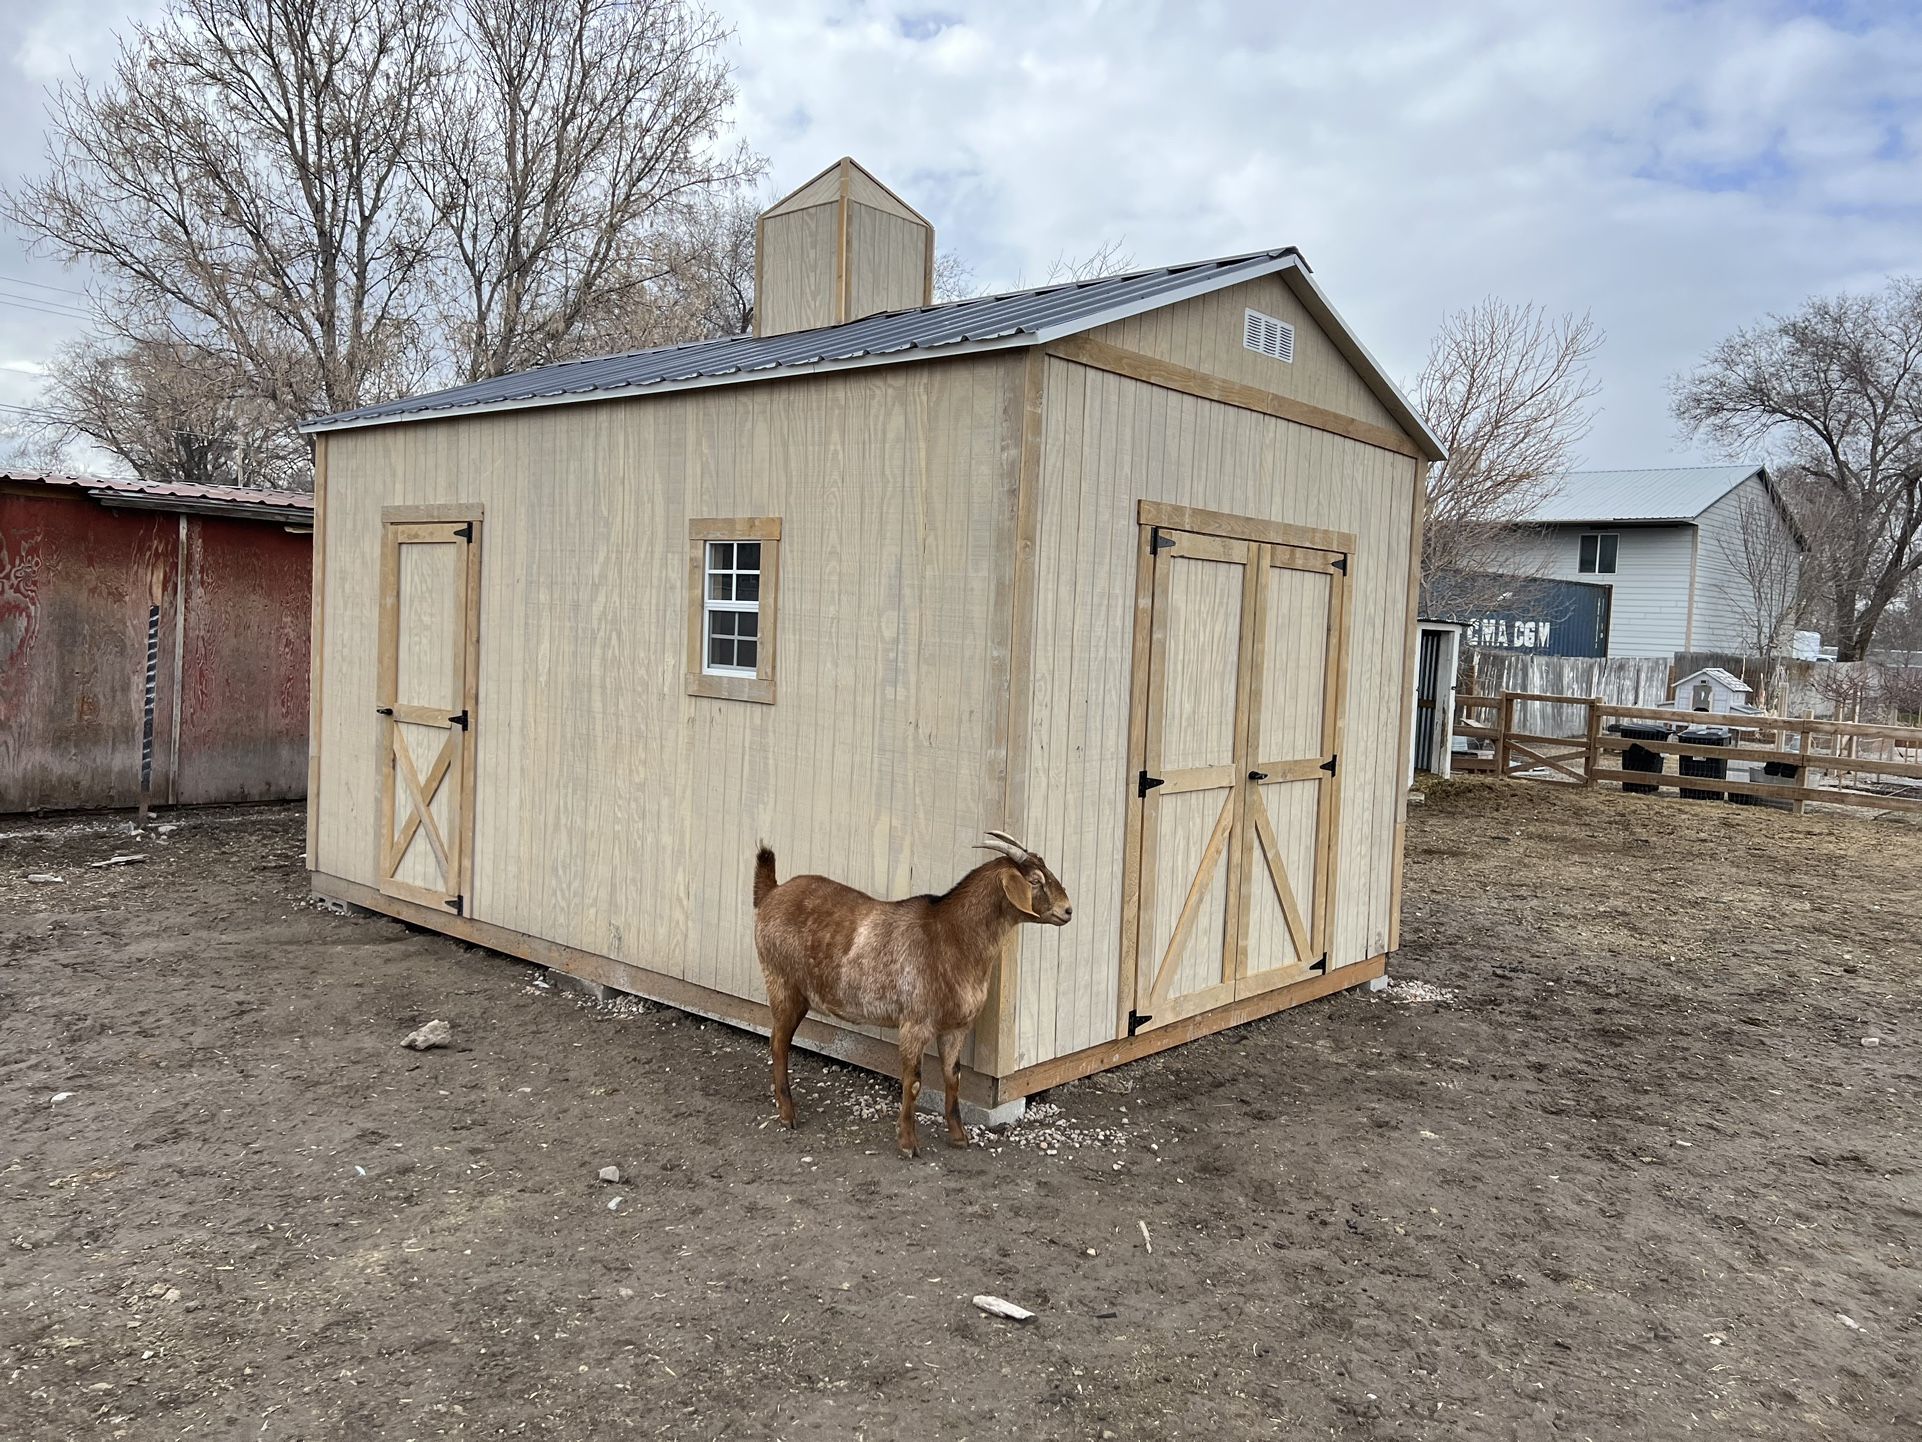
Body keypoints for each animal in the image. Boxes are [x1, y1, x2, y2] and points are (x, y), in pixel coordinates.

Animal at [749, 830, 1076, 1161]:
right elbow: (914, 1081)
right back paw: (787, 1114)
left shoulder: (956, 1027)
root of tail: (771, 893)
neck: (951, 938)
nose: (1068, 910)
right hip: (782, 983)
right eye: (1034, 880)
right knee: (778, 1044)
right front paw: (908, 1142)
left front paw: (959, 1137)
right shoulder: (914, 1023)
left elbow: (953, 1076)